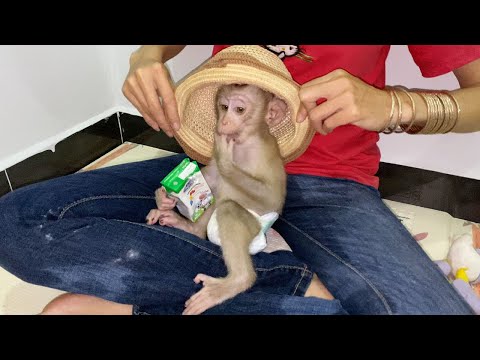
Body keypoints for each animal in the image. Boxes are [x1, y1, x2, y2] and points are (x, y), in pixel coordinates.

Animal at [146, 83, 286, 316]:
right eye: (224, 107)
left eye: (239, 109)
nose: (224, 121)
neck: (243, 141)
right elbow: (209, 179)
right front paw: (164, 197)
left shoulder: (261, 152)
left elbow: (271, 197)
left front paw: (225, 159)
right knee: (217, 194)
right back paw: (189, 227)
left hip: (257, 226)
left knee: (228, 207)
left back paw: (237, 281)